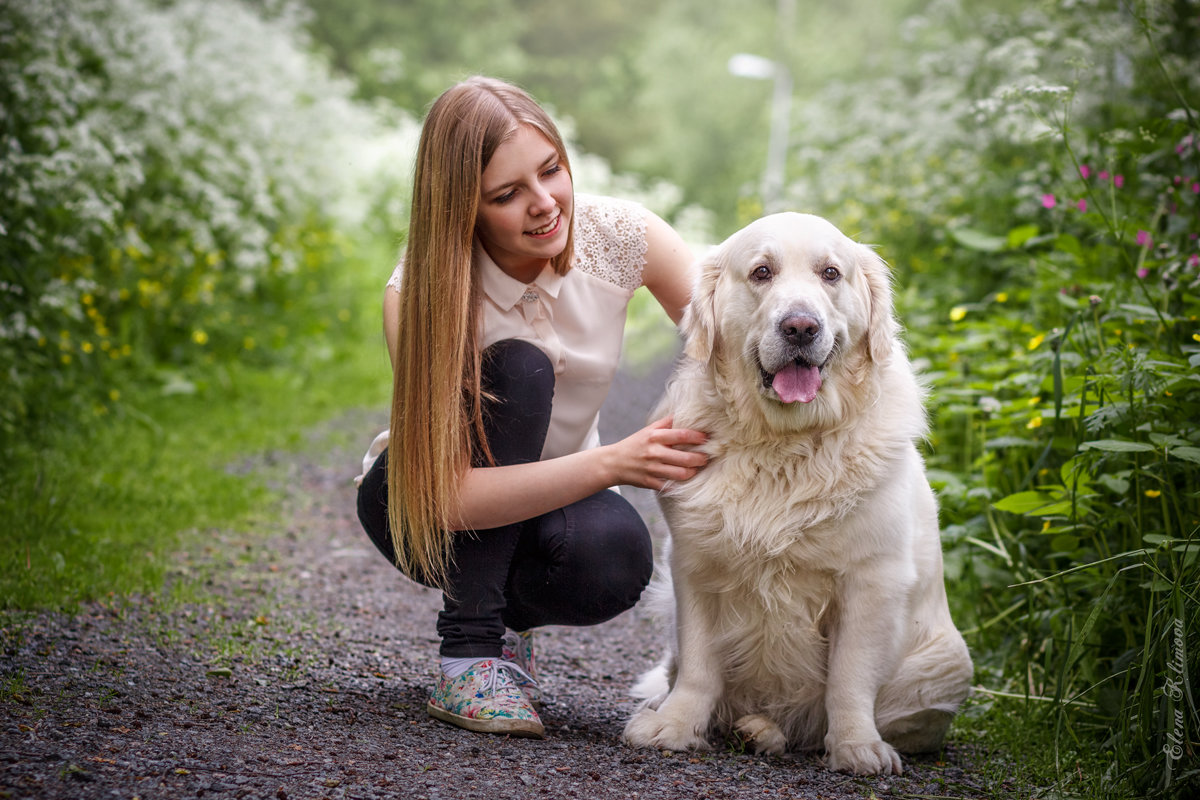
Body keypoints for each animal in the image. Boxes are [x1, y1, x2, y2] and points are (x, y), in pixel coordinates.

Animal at [624, 212, 969, 777]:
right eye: (761, 272)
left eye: (831, 273)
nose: (801, 327)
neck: (784, 445)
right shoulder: (694, 566)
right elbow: (698, 664)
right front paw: (674, 725)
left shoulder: (871, 580)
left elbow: (850, 678)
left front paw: (857, 747)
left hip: (946, 667)